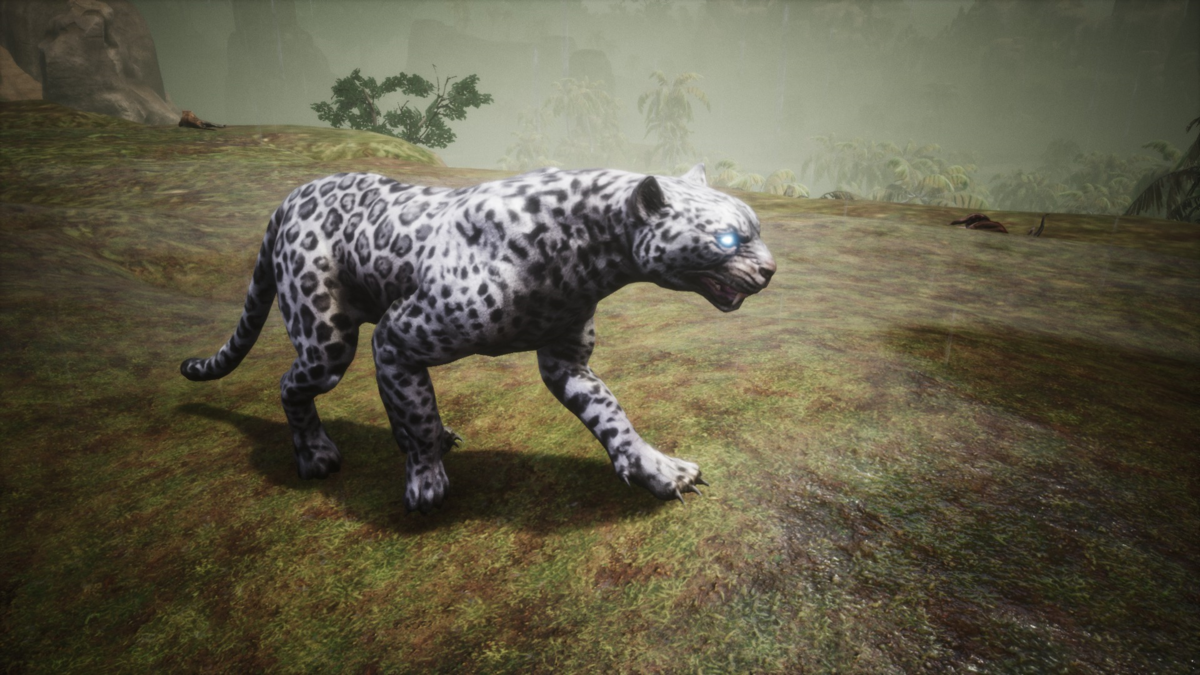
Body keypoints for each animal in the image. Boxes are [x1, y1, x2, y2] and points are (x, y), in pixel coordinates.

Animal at [180, 164, 776, 513]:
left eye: (757, 229)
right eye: (729, 239)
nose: (771, 270)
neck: (584, 257)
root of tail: (291, 196)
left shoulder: (566, 360)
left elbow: (611, 414)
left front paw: (659, 470)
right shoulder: (397, 336)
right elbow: (416, 417)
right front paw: (425, 485)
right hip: (327, 338)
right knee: (292, 385)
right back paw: (317, 456)